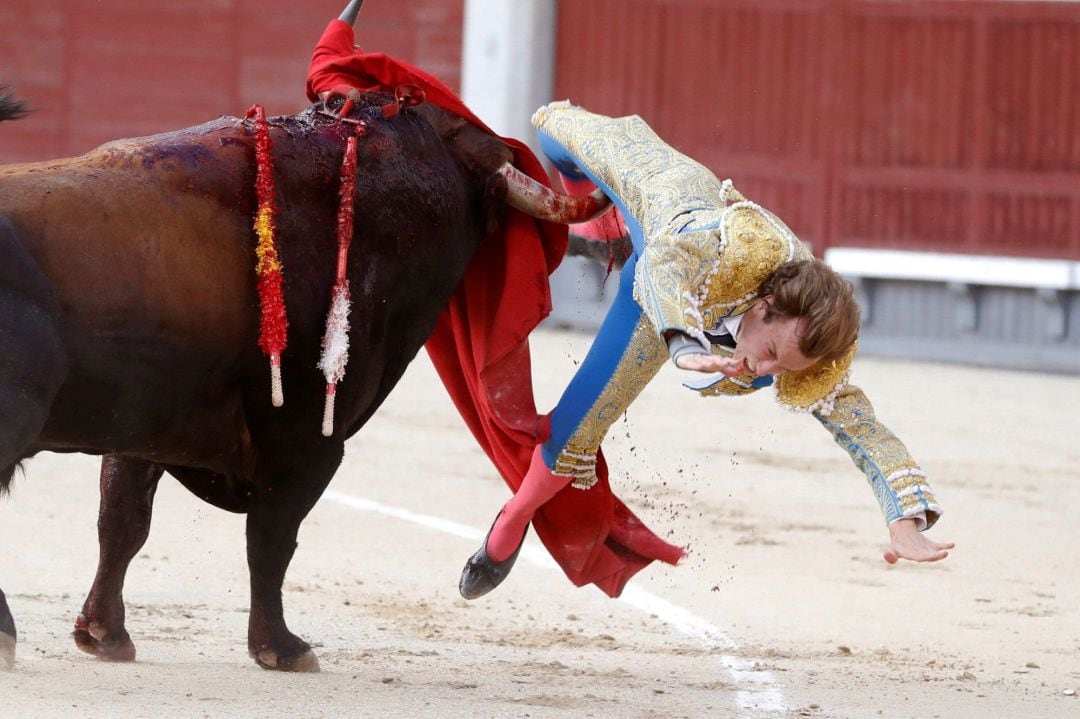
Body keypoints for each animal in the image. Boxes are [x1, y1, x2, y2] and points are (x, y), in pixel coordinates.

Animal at [0, 86, 609, 669]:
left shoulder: (144, 423)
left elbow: (122, 521)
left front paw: (104, 633)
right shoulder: (307, 440)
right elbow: (269, 541)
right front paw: (281, 648)